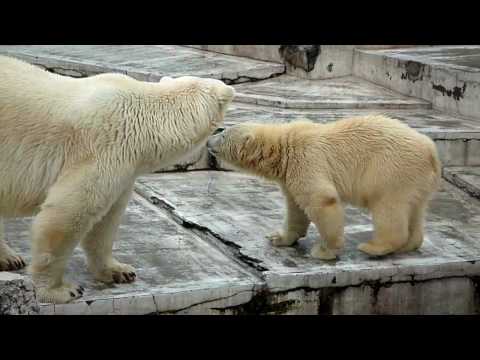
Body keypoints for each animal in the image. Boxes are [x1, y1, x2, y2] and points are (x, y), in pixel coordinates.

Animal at [0, 56, 235, 304]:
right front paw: (60, 290)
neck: (145, 119)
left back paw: (8, 258)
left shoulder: (125, 168)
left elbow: (108, 220)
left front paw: (119, 271)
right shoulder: (103, 150)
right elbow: (67, 215)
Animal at [208, 116, 440, 260]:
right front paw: (278, 238)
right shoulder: (290, 176)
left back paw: (374, 247)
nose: (209, 141)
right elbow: (295, 208)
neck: (284, 147)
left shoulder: (306, 160)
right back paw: (410, 244)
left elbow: (321, 200)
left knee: (388, 207)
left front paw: (324, 251)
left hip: (390, 169)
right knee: (416, 208)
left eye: (222, 134)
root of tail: (431, 150)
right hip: (416, 180)